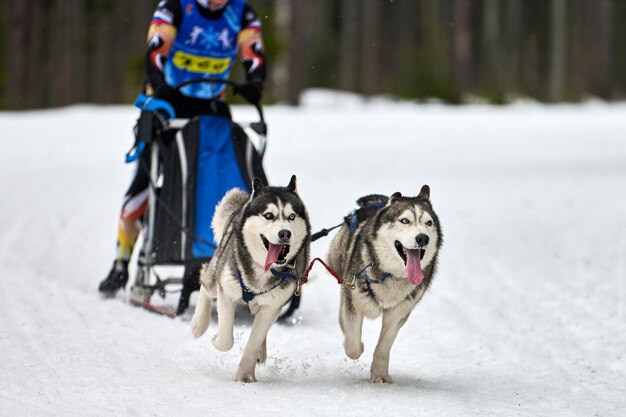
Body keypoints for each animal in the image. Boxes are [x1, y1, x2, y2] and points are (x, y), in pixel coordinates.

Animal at [189, 174, 308, 382]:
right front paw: (216, 339)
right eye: (268, 215)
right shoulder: (226, 293)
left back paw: (261, 351)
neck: (263, 270)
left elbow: (253, 342)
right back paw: (198, 324)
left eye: (291, 216)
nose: (285, 233)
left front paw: (245, 374)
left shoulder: (271, 307)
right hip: (217, 271)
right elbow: (226, 339)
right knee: (205, 282)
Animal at [326, 186, 438, 384]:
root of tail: (378, 202)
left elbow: (384, 346)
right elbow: (353, 345)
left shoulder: (397, 314)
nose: (423, 238)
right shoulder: (353, 301)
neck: (390, 275)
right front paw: (359, 346)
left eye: (429, 222)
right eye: (405, 220)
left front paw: (379, 375)